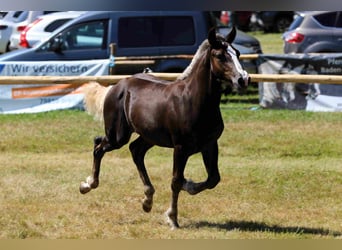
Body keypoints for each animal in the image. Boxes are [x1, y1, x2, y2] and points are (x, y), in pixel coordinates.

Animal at [81, 27, 250, 229]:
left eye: (237, 53)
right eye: (220, 56)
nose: (243, 79)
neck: (193, 101)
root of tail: (116, 86)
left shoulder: (210, 144)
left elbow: (213, 178)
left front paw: (188, 185)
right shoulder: (180, 148)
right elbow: (175, 181)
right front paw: (173, 218)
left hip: (149, 136)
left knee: (135, 150)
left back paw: (147, 200)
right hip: (118, 136)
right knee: (99, 146)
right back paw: (88, 184)